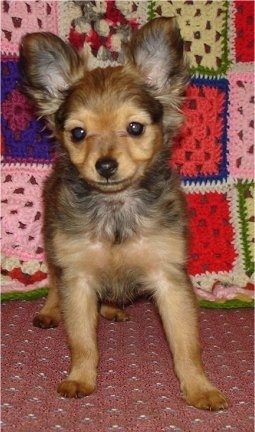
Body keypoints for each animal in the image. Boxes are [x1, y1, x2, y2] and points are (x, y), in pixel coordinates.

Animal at [19, 16, 227, 408]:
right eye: (78, 133)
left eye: (135, 128)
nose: (105, 165)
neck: (115, 207)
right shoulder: (78, 277)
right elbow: (82, 341)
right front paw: (80, 378)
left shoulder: (169, 277)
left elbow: (186, 343)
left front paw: (199, 387)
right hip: (53, 245)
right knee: (53, 280)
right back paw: (51, 310)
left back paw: (114, 308)